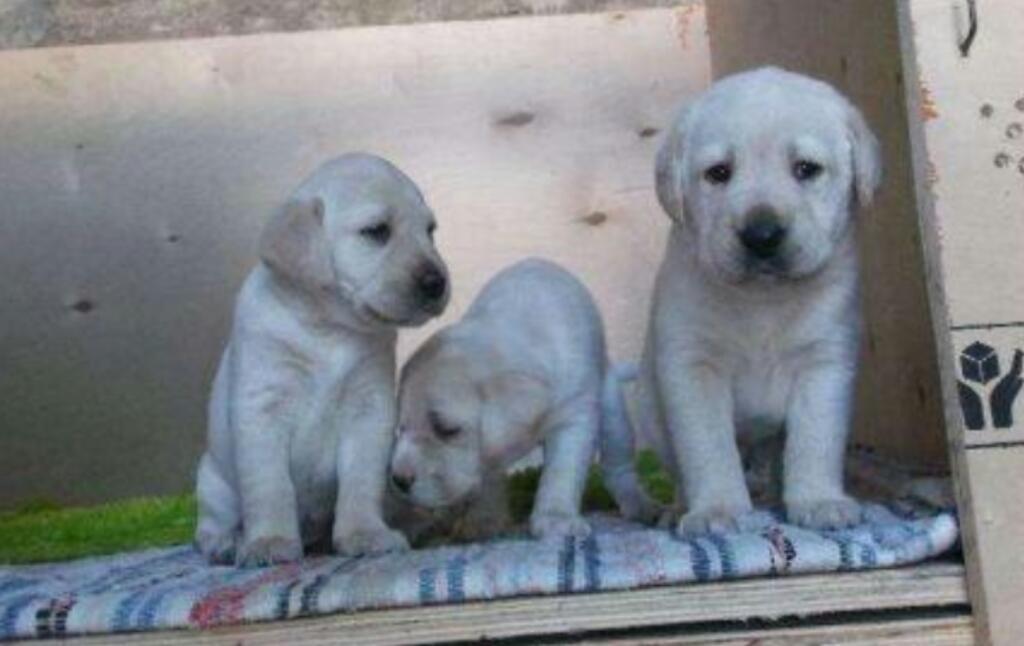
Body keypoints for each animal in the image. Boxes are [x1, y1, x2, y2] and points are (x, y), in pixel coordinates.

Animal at [192, 152, 448, 565]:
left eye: (430, 231)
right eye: (377, 231)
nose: (437, 282)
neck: (327, 329)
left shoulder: (369, 412)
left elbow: (360, 483)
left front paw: (365, 533)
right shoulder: (261, 409)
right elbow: (270, 485)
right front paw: (269, 541)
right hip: (213, 483)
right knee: (209, 525)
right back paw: (226, 542)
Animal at [389, 257, 634, 540]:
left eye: (446, 430)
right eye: (401, 428)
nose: (398, 480)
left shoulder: (575, 416)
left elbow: (562, 470)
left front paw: (556, 518)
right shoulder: (490, 451)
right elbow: (488, 477)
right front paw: (484, 521)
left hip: (613, 414)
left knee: (620, 469)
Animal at [630, 67, 880, 536]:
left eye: (806, 169)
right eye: (718, 172)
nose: (762, 235)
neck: (763, 300)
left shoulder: (824, 363)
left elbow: (815, 439)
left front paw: (818, 501)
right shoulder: (693, 366)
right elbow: (708, 447)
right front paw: (718, 510)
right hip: (652, 417)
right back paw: (679, 508)